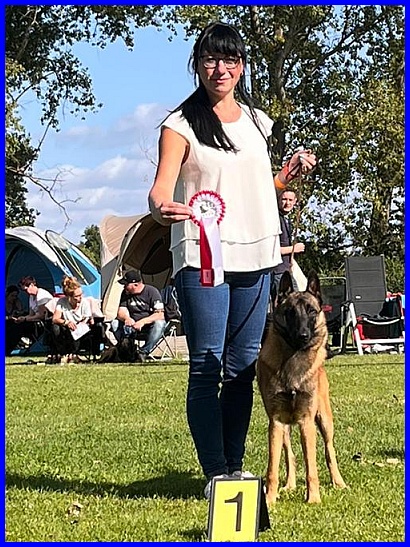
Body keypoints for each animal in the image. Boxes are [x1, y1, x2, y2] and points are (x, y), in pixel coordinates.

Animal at [257, 270, 347, 504]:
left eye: (312, 311)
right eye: (290, 313)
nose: (303, 336)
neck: (292, 360)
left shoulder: (307, 421)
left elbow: (312, 466)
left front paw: (313, 498)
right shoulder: (276, 422)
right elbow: (273, 467)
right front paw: (269, 499)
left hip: (324, 421)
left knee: (329, 451)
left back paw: (339, 482)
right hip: (285, 429)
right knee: (290, 455)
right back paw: (289, 485)